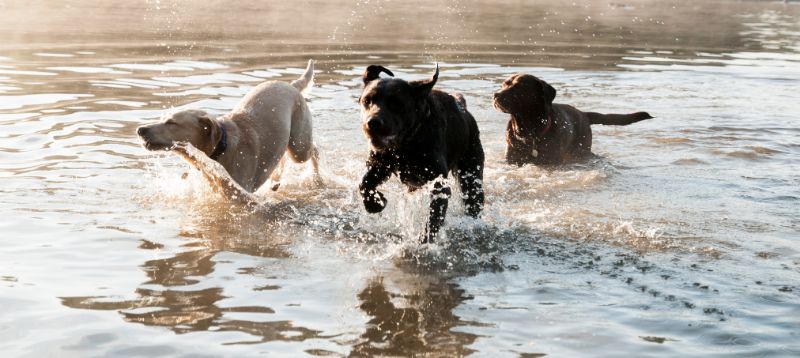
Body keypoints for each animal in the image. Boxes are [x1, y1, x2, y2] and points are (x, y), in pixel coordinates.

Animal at [360, 64, 484, 243]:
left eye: (396, 104)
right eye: (367, 101)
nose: (373, 123)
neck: (405, 146)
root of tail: (464, 109)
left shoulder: (439, 184)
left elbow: (433, 218)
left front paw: (424, 240)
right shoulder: (379, 165)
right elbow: (364, 184)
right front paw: (376, 203)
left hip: (471, 173)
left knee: (474, 200)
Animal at [490, 74, 652, 166]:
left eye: (520, 87)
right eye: (504, 84)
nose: (496, 94)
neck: (529, 131)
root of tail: (584, 114)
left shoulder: (552, 161)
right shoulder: (513, 160)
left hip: (581, 149)